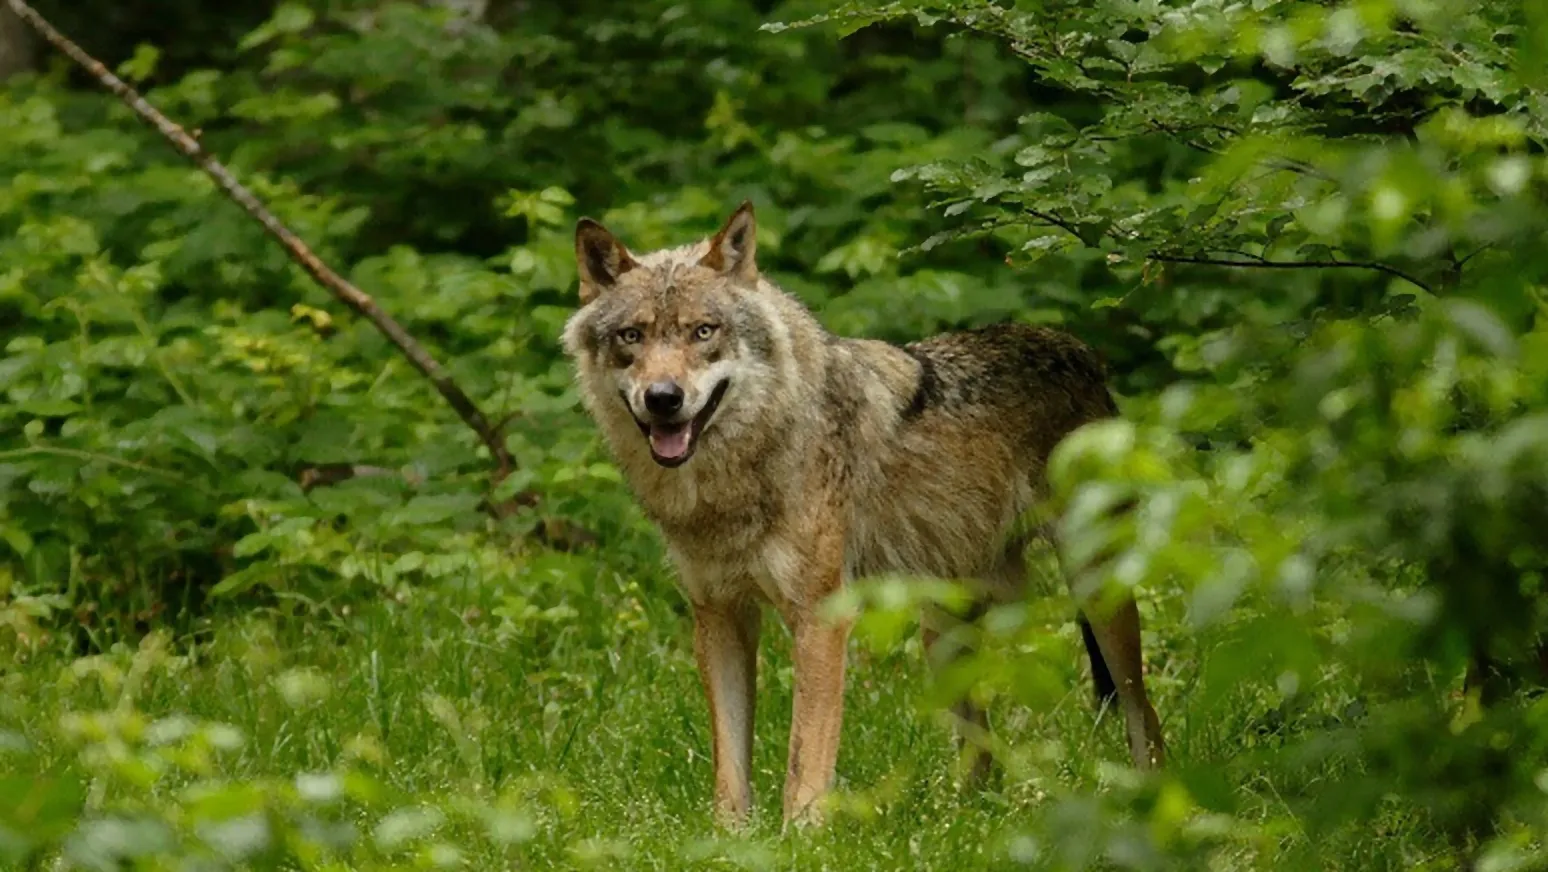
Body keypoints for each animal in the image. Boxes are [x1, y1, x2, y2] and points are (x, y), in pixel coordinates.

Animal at [560, 201, 1165, 827]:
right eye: (632, 336)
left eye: (703, 332)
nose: (663, 398)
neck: (735, 481)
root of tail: (1078, 350)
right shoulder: (719, 616)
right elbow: (729, 764)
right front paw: (727, 836)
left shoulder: (821, 618)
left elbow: (805, 760)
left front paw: (801, 835)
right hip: (942, 635)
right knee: (982, 755)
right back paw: (963, 819)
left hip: (1098, 596)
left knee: (1145, 715)